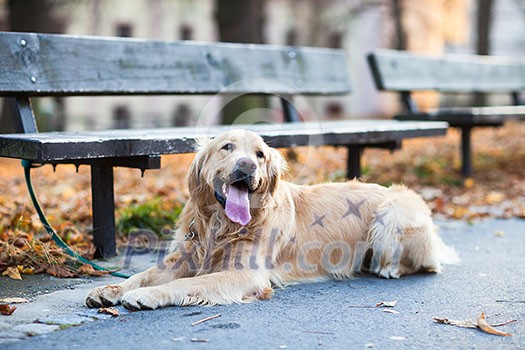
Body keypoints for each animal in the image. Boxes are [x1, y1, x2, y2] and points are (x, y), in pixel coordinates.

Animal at [85, 129, 454, 308]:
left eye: (260, 155)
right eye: (227, 147)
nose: (247, 166)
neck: (220, 226)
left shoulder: (244, 273)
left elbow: (185, 284)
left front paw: (147, 297)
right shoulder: (187, 254)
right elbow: (144, 275)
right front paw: (110, 288)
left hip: (391, 214)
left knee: (424, 264)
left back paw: (387, 268)